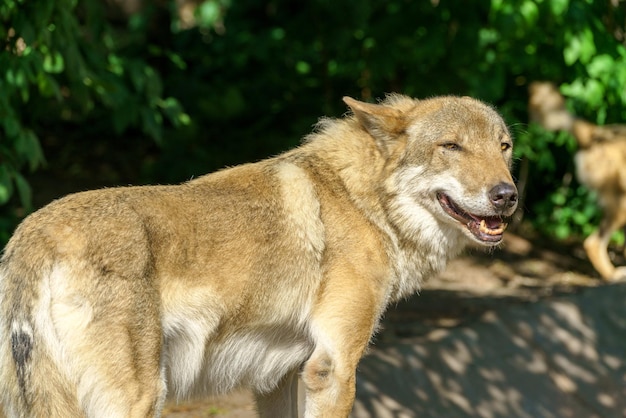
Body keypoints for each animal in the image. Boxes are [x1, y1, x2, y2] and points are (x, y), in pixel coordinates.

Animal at [0, 93, 516, 416]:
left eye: (504, 146)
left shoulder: (283, 377)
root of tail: (28, 236)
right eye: (451, 146)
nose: (507, 195)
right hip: (140, 398)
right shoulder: (334, 367)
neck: (362, 201)